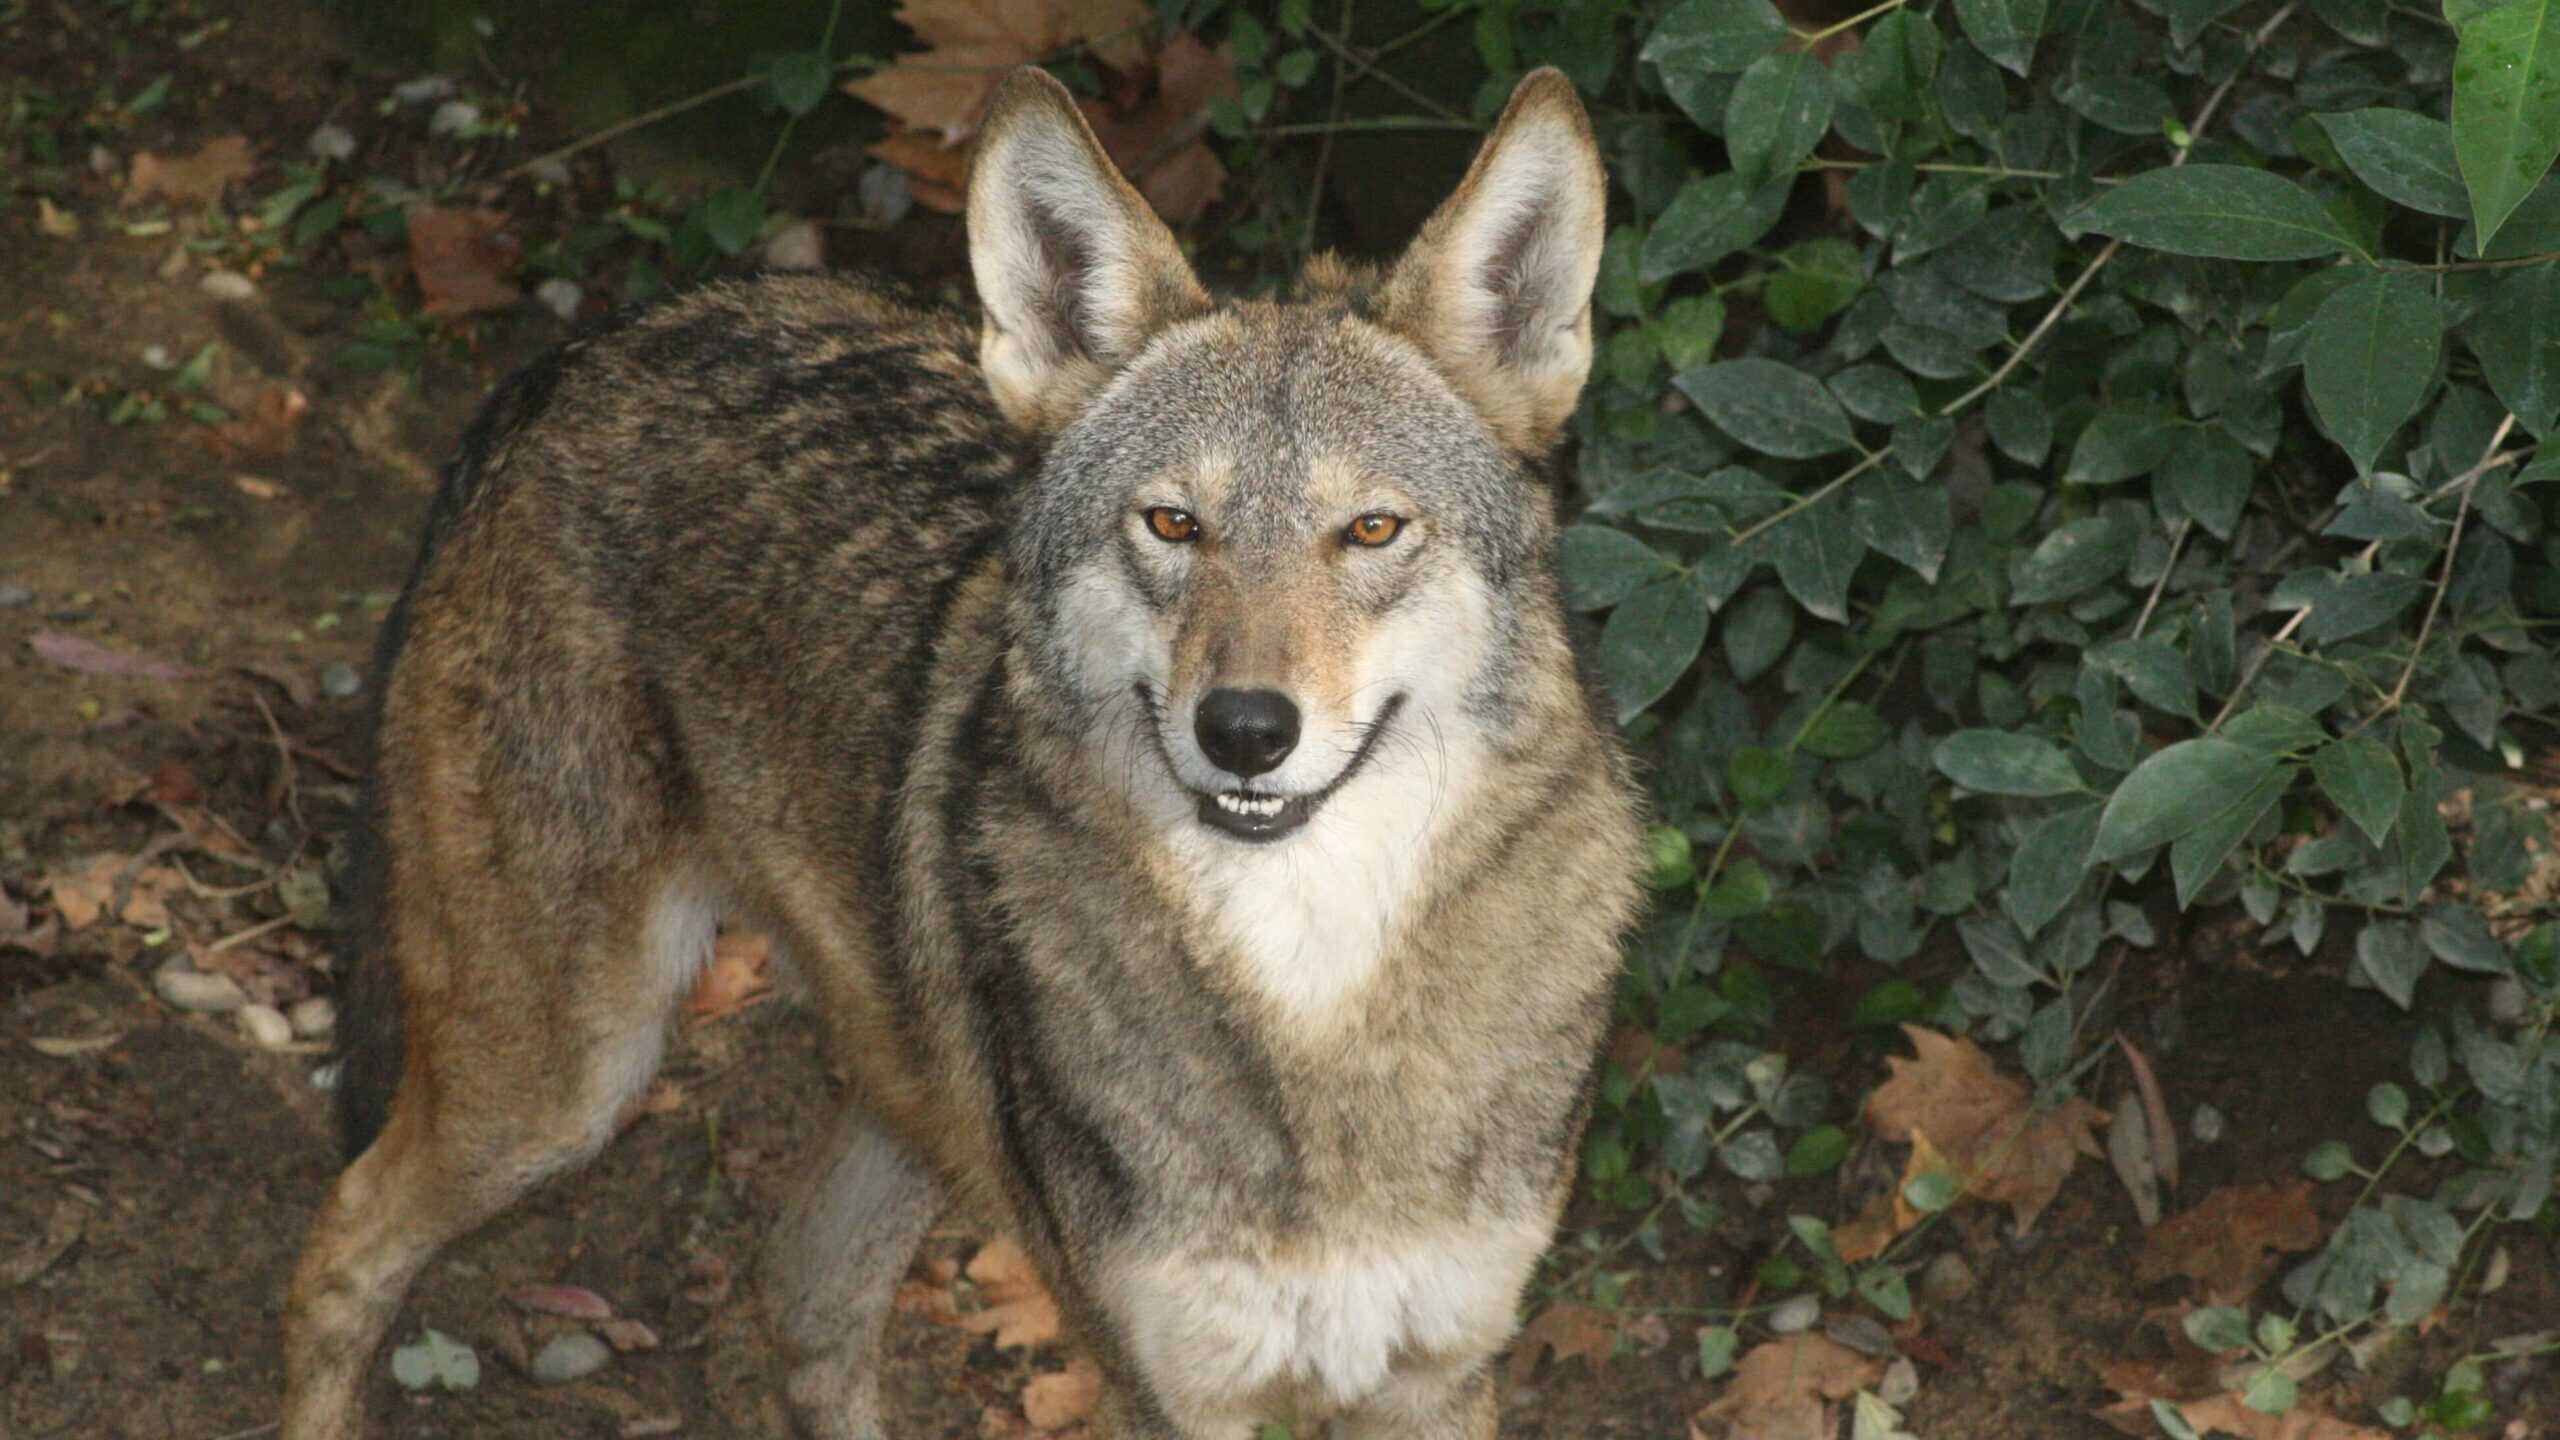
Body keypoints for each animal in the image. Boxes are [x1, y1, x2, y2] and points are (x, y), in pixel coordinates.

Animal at [281, 64, 1642, 1439]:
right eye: (1171, 525)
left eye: (1370, 530)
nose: (1246, 731)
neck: (1312, 1005)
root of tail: (590, 346)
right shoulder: (1166, 1390)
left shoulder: (1438, 1375)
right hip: (568, 1084)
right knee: (341, 1241)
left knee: (802, 1290)